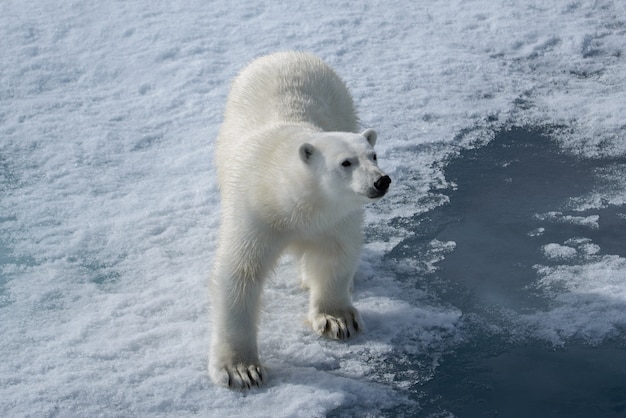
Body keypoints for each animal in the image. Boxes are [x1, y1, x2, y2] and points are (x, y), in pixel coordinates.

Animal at [207, 51, 388, 388]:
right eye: (346, 162)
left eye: (373, 155)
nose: (381, 181)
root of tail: (285, 54)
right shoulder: (255, 214)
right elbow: (240, 274)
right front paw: (241, 370)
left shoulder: (336, 217)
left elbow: (336, 255)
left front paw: (336, 320)